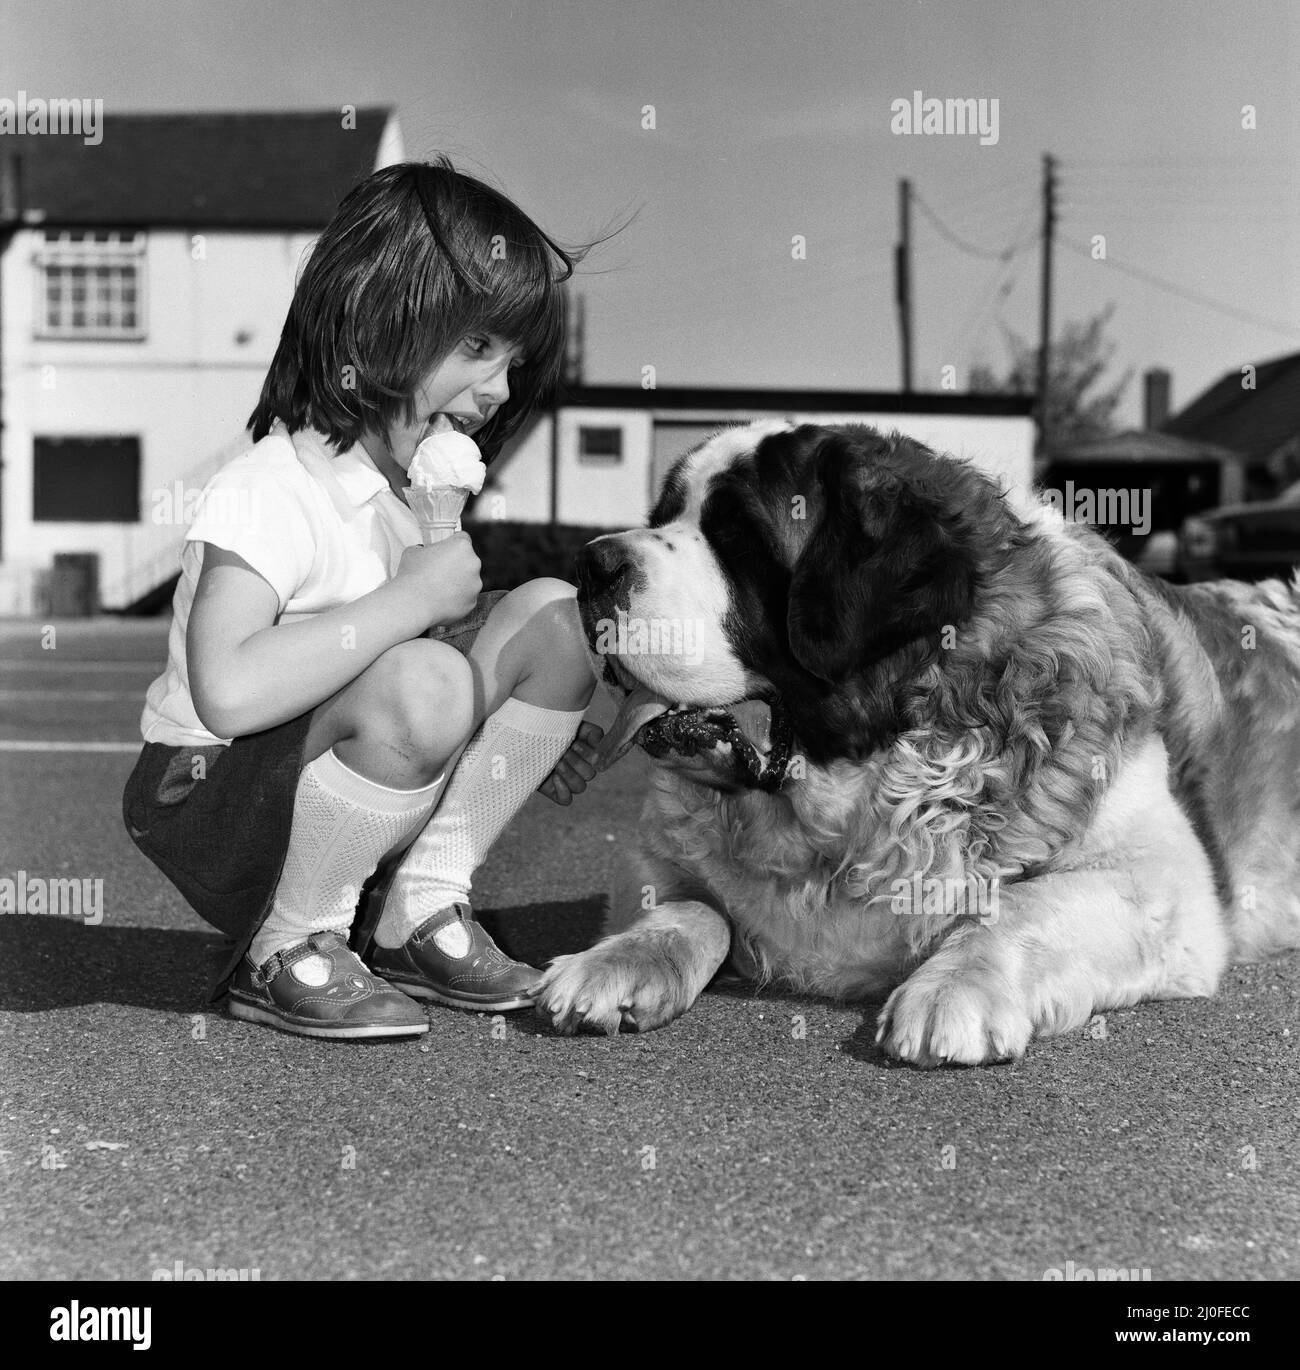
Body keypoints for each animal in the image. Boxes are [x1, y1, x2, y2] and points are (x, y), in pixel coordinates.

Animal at [531, 421, 1298, 1063]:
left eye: (739, 540)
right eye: (661, 519)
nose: (591, 563)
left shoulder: (1165, 887)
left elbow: (1023, 905)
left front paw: (953, 987)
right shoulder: (661, 859)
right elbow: (691, 906)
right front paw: (617, 961)